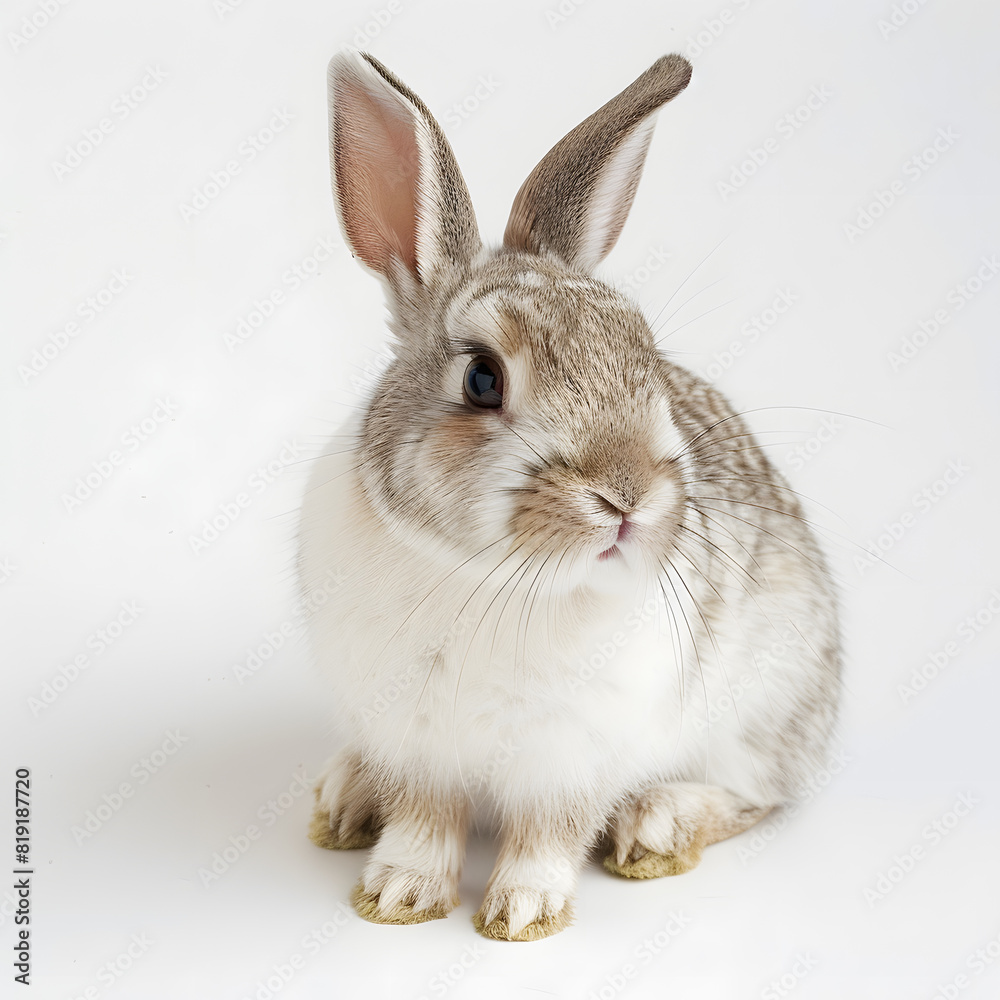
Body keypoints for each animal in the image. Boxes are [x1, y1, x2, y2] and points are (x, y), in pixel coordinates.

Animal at [299, 48, 842, 942]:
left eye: (643, 357)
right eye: (483, 379)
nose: (628, 498)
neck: (482, 576)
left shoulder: (576, 757)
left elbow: (548, 834)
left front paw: (522, 912)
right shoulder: (413, 744)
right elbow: (422, 821)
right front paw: (401, 895)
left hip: (763, 707)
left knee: (758, 795)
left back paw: (658, 825)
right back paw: (343, 799)